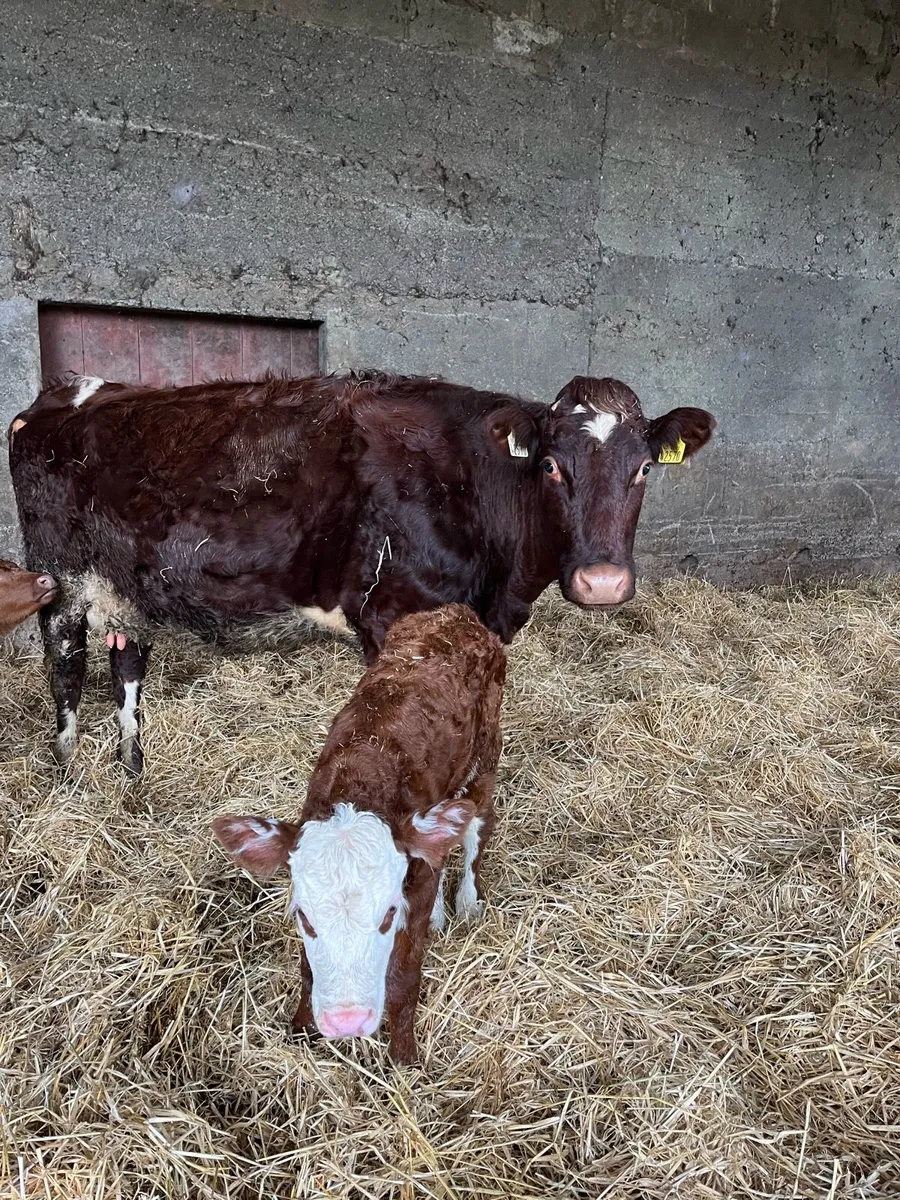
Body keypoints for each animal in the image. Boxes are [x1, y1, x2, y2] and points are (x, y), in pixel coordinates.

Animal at [9, 370, 715, 773]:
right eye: (550, 465)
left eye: (644, 468)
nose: (603, 582)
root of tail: (70, 393)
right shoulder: (393, 617)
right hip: (60, 578)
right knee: (66, 666)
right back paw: (66, 769)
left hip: (129, 586)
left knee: (126, 664)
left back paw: (133, 768)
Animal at [212, 603, 505, 1064]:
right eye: (303, 917)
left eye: (388, 914)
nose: (346, 1022)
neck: (363, 773)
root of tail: (454, 613)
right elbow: (308, 969)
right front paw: (302, 1028)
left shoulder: (413, 888)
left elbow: (404, 975)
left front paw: (403, 1055)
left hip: (486, 756)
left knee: (477, 826)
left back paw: (467, 902)